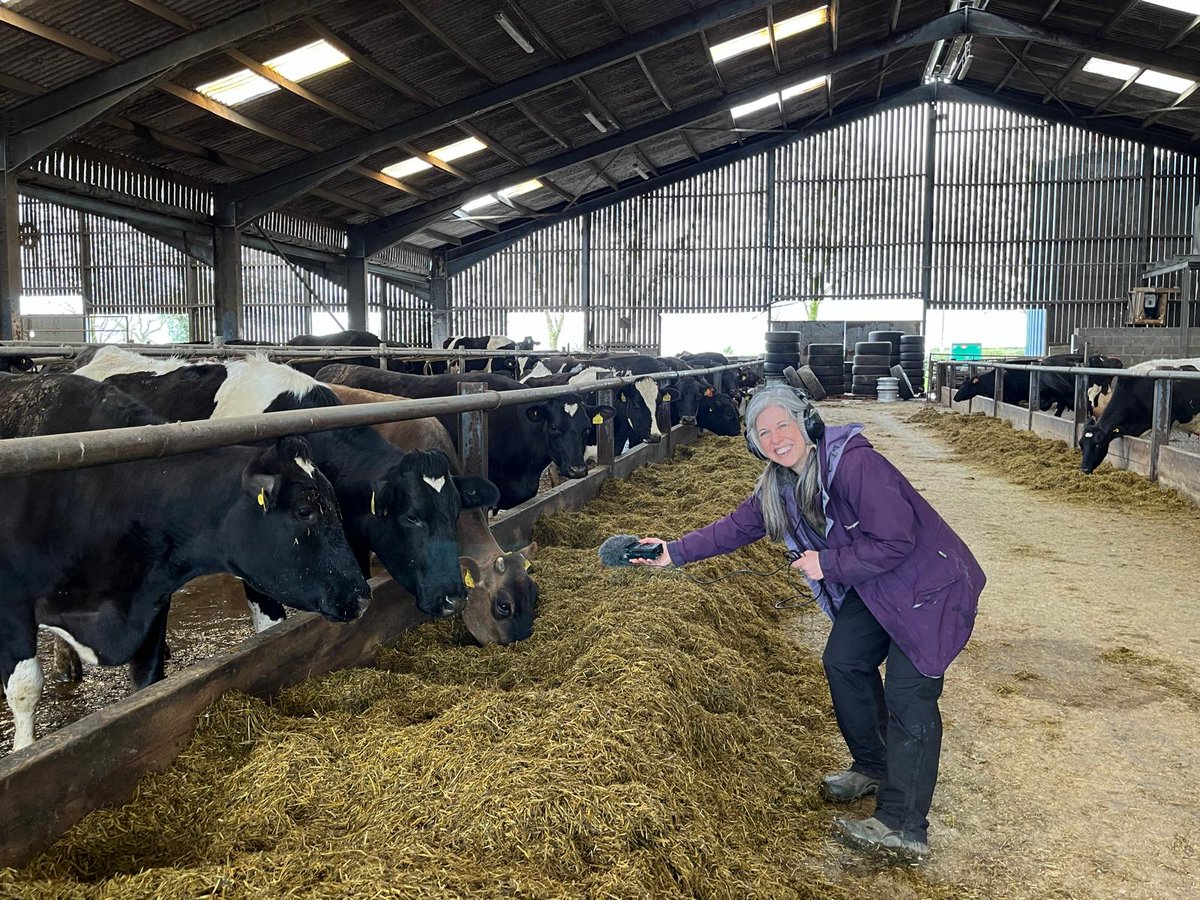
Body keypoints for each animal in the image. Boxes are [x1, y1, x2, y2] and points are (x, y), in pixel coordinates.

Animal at [1, 412, 364, 748]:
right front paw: (24, 749)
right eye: (305, 511)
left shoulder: (151, 599)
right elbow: (25, 687)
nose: (361, 596)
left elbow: (147, 680)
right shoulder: (12, 607)